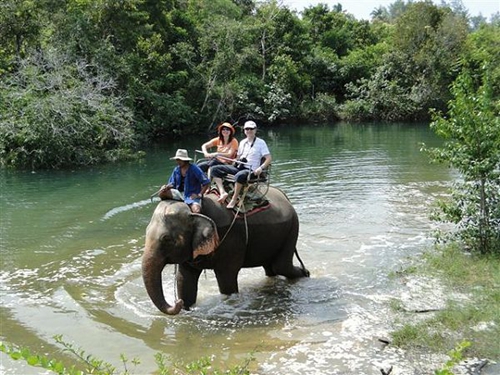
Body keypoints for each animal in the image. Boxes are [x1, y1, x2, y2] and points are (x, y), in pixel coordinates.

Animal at [143, 187, 310, 316]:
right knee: (271, 268)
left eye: (167, 239)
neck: (196, 210)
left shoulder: (231, 240)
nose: (177, 301)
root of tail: (284, 196)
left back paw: (306, 274)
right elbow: (184, 279)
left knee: (281, 266)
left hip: (292, 227)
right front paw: (186, 308)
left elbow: (226, 280)